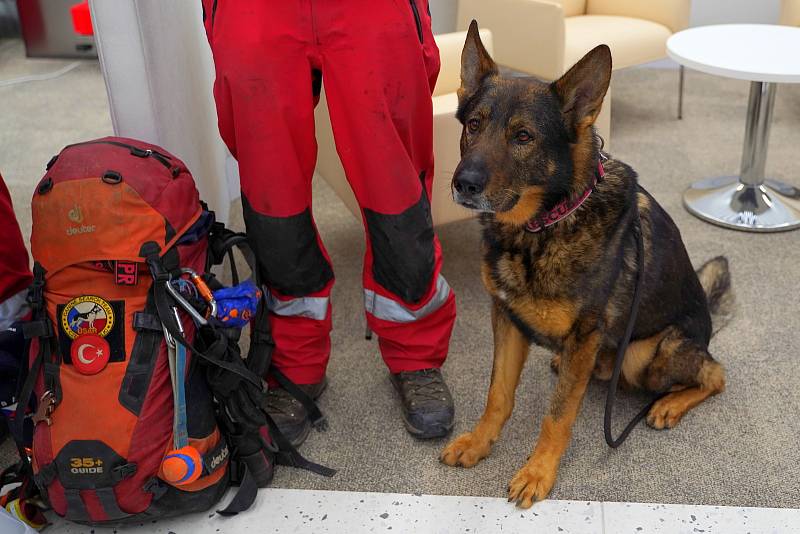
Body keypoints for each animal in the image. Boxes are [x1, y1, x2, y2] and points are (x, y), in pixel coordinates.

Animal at [440, 24, 736, 510]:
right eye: (473, 125)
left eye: (524, 137)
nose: (463, 184)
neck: (542, 226)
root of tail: (707, 325)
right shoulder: (506, 318)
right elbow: (498, 395)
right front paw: (480, 443)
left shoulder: (584, 333)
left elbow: (558, 415)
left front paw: (538, 471)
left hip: (647, 357)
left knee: (714, 373)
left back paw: (670, 403)